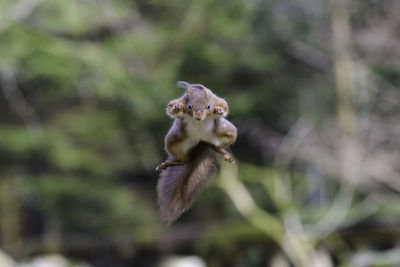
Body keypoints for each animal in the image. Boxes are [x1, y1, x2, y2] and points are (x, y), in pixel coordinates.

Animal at [155, 81, 238, 224]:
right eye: (189, 106)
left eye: (208, 106)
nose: (198, 117)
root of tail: (201, 141)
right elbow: (171, 107)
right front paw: (177, 107)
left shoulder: (216, 99)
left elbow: (224, 105)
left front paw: (219, 109)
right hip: (173, 140)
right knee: (184, 159)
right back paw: (172, 162)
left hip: (227, 132)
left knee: (216, 146)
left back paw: (222, 152)